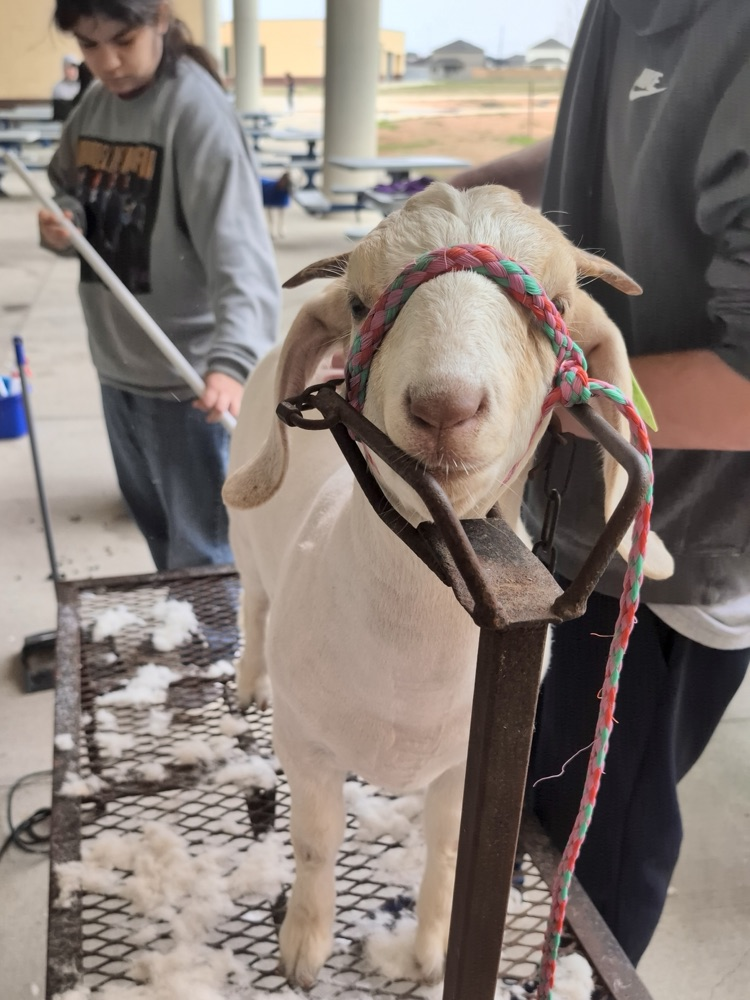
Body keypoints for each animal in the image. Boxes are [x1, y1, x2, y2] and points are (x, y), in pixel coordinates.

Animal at [222, 183, 673, 988]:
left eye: (558, 301)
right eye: (360, 302)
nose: (445, 405)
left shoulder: (467, 765)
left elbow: (453, 849)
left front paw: (431, 950)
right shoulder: (306, 745)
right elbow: (315, 842)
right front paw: (304, 945)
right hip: (249, 546)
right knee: (252, 606)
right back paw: (248, 679)